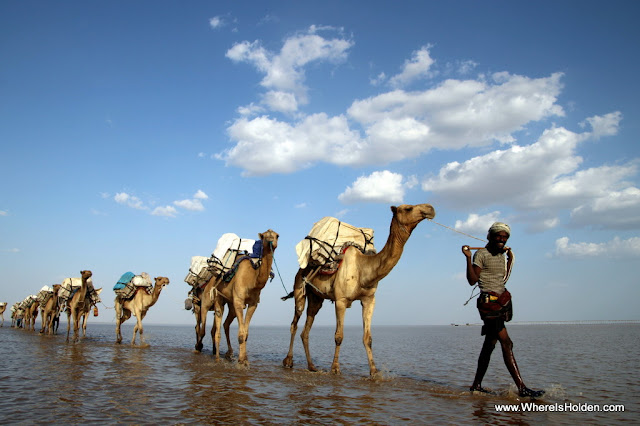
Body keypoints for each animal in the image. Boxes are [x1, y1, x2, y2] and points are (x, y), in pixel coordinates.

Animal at [211, 229, 279, 365]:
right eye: (263, 236)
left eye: (277, 235)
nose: (270, 239)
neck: (252, 280)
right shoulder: (238, 301)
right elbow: (241, 333)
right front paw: (241, 360)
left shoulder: (253, 303)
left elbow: (246, 333)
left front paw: (245, 358)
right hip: (219, 297)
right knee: (218, 327)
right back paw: (217, 358)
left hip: (230, 302)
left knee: (226, 324)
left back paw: (229, 354)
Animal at [282, 203, 436, 376]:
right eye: (408, 208)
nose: (430, 208)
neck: (363, 269)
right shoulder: (341, 300)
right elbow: (339, 336)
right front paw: (335, 368)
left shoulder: (369, 300)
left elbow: (368, 338)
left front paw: (374, 371)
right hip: (299, 289)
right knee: (294, 323)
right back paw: (288, 361)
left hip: (316, 297)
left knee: (306, 328)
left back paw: (312, 366)